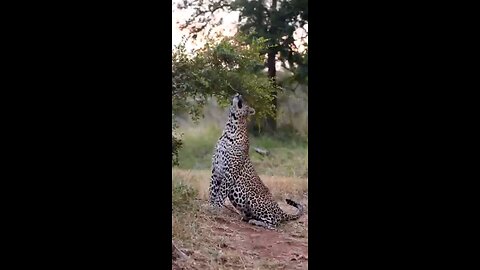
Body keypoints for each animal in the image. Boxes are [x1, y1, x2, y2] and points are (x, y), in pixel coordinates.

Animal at [207, 94, 304, 229]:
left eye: (245, 101)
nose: (238, 94)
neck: (230, 128)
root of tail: (279, 209)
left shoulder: (229, 173)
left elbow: (221, 193)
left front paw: (216, 208)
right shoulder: (216, 169)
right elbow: (212, 190)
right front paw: (210, 206)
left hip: (253, 200)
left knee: (274, 223)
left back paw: (256, 221)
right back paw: (247, 218)